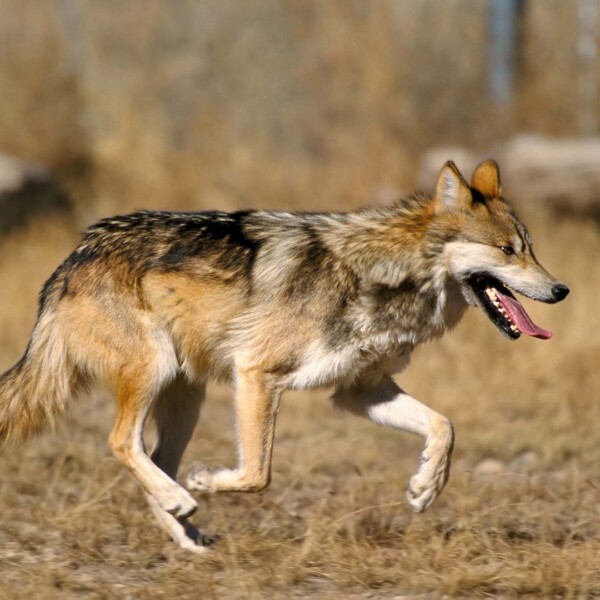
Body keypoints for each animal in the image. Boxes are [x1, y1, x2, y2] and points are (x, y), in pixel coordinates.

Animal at [0, 161, 568, 552]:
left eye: (531, 248)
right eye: (508, 250)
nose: (561, 290)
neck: (382, 275)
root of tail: (73, 258)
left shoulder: (359, 391)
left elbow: (444, 426)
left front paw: (426, 488)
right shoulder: (258, 374)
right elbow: (257, 474)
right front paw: (206, 480)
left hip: (186, 398)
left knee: (153, 460)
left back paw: (187, 536)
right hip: (155, 373)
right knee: (122, 442)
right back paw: (183, 498)